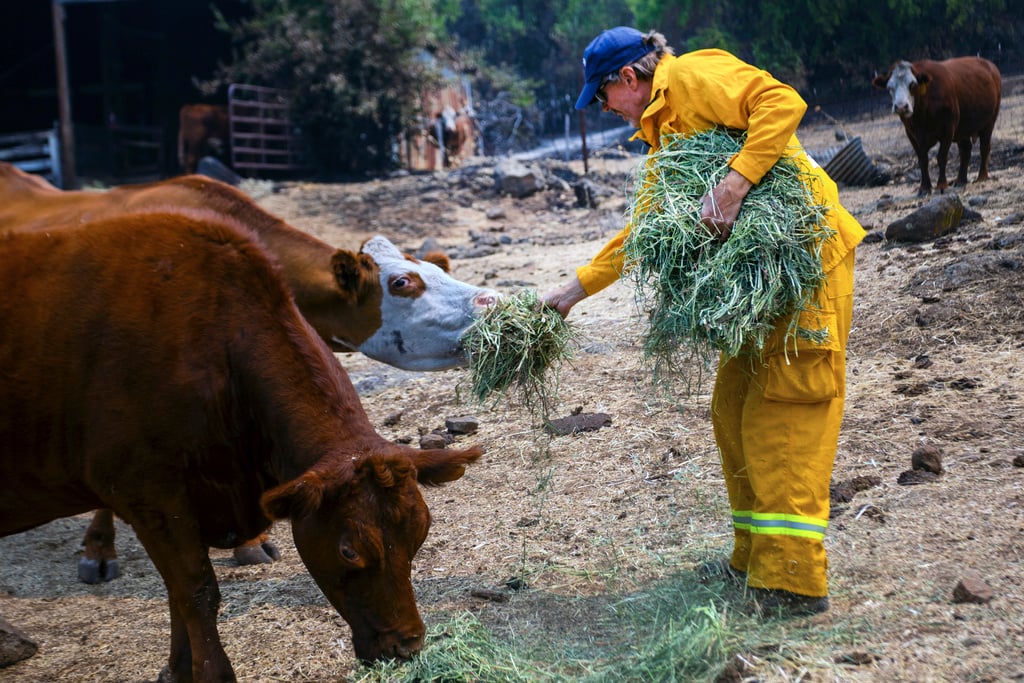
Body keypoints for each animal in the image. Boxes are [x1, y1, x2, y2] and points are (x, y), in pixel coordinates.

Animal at [0, 209, 481, 679]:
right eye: (349, 550)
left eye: (420, 533)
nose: (407, 645)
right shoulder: (146, 493)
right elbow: (195, 591)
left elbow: (177, 592)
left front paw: (178, 670)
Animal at [876, 56, 1003, 196]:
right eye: (889, 87)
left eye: (913, 84)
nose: (901, 107)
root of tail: (990, 65)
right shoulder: (911, 133)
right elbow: (923, 160)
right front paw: (924, 187)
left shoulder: (948, 128)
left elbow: (942, 157)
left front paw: (942, 185)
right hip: (962, 129)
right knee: (965, 150)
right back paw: (960, 179)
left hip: (989, 122)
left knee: (984, 147)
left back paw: (982, 176)